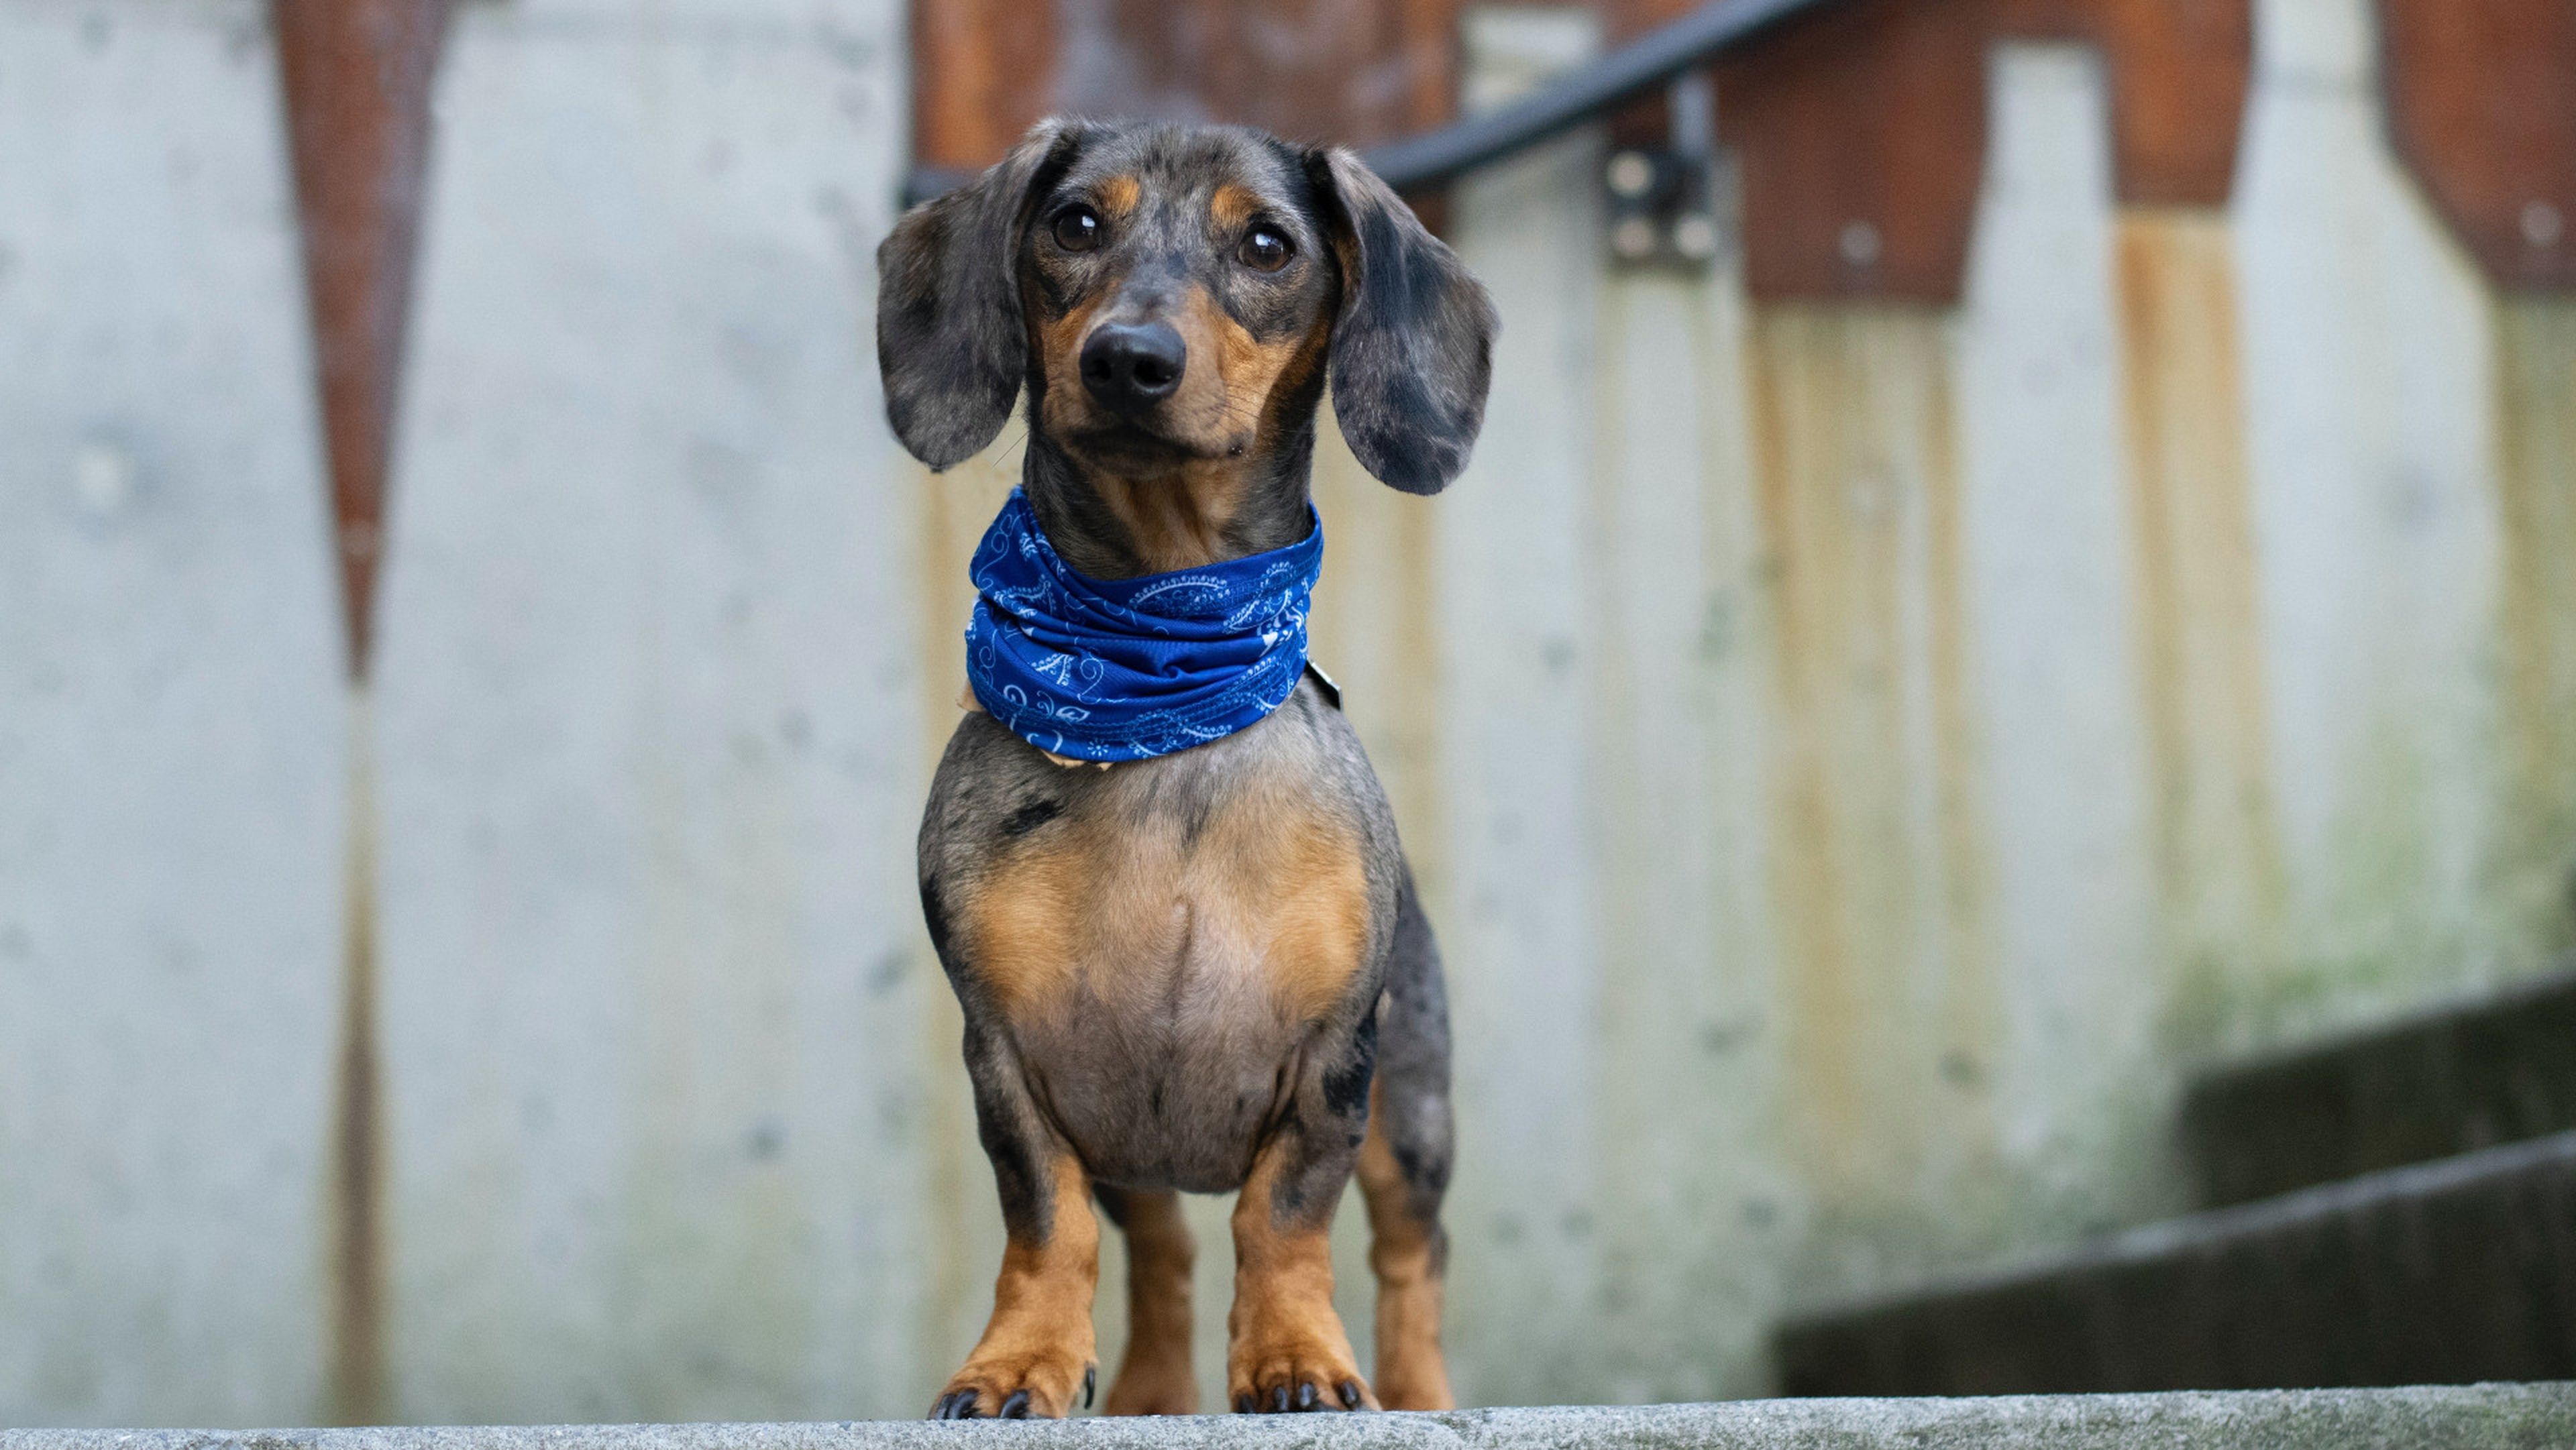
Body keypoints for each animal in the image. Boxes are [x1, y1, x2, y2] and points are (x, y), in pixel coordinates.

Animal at [881, 119, 1504, 1421]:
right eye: (1073, 223)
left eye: (1267, 244)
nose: (1129, 361)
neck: (1159, 678)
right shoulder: (1010, 1058)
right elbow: (1050, 1225)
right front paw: (1017, 1361)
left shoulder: (1334, 1060)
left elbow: (1285, 1218)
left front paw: (1298, 1357)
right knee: (1161, 1246)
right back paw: (1151, 1387)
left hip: (1414, 1107)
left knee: (1412, 1252)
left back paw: (1419, 1387)